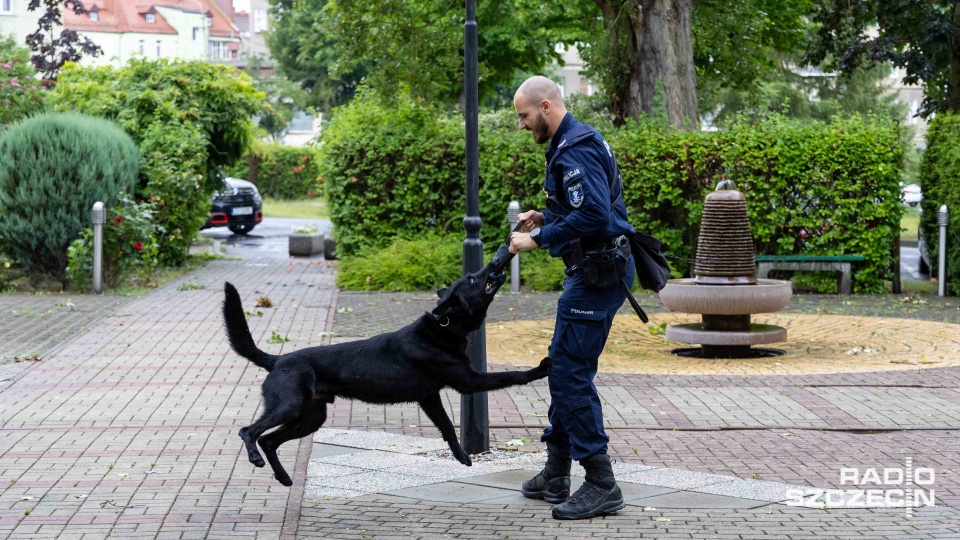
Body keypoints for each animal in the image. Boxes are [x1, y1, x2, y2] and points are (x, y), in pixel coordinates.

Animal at [218, 262, 548, 486]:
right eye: (471, 278)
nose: (494, 263)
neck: (442, 327)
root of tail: (277, 360)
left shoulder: (430, 397)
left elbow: (447, 428)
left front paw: (461, 456)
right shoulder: (468, 382)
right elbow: (511, 376)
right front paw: (539, 369)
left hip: (310, 418)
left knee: (269, 441)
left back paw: (284, 477)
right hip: (290, 406)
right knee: (249, 432)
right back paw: (255, 457)